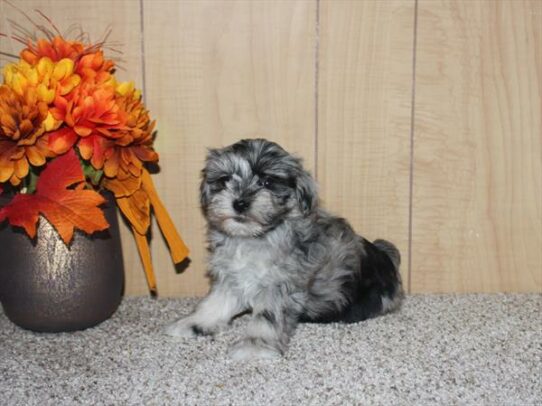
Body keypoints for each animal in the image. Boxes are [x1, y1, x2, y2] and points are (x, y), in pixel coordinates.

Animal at [166, 138, 404, 360]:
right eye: (225, 180)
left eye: (267, 181)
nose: (240, 203)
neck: (253, 238)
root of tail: (387, 258)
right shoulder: (230, 278)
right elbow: (214, 303)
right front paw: (193, 323)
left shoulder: (279, 285)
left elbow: (266, 317)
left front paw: (254, 346)